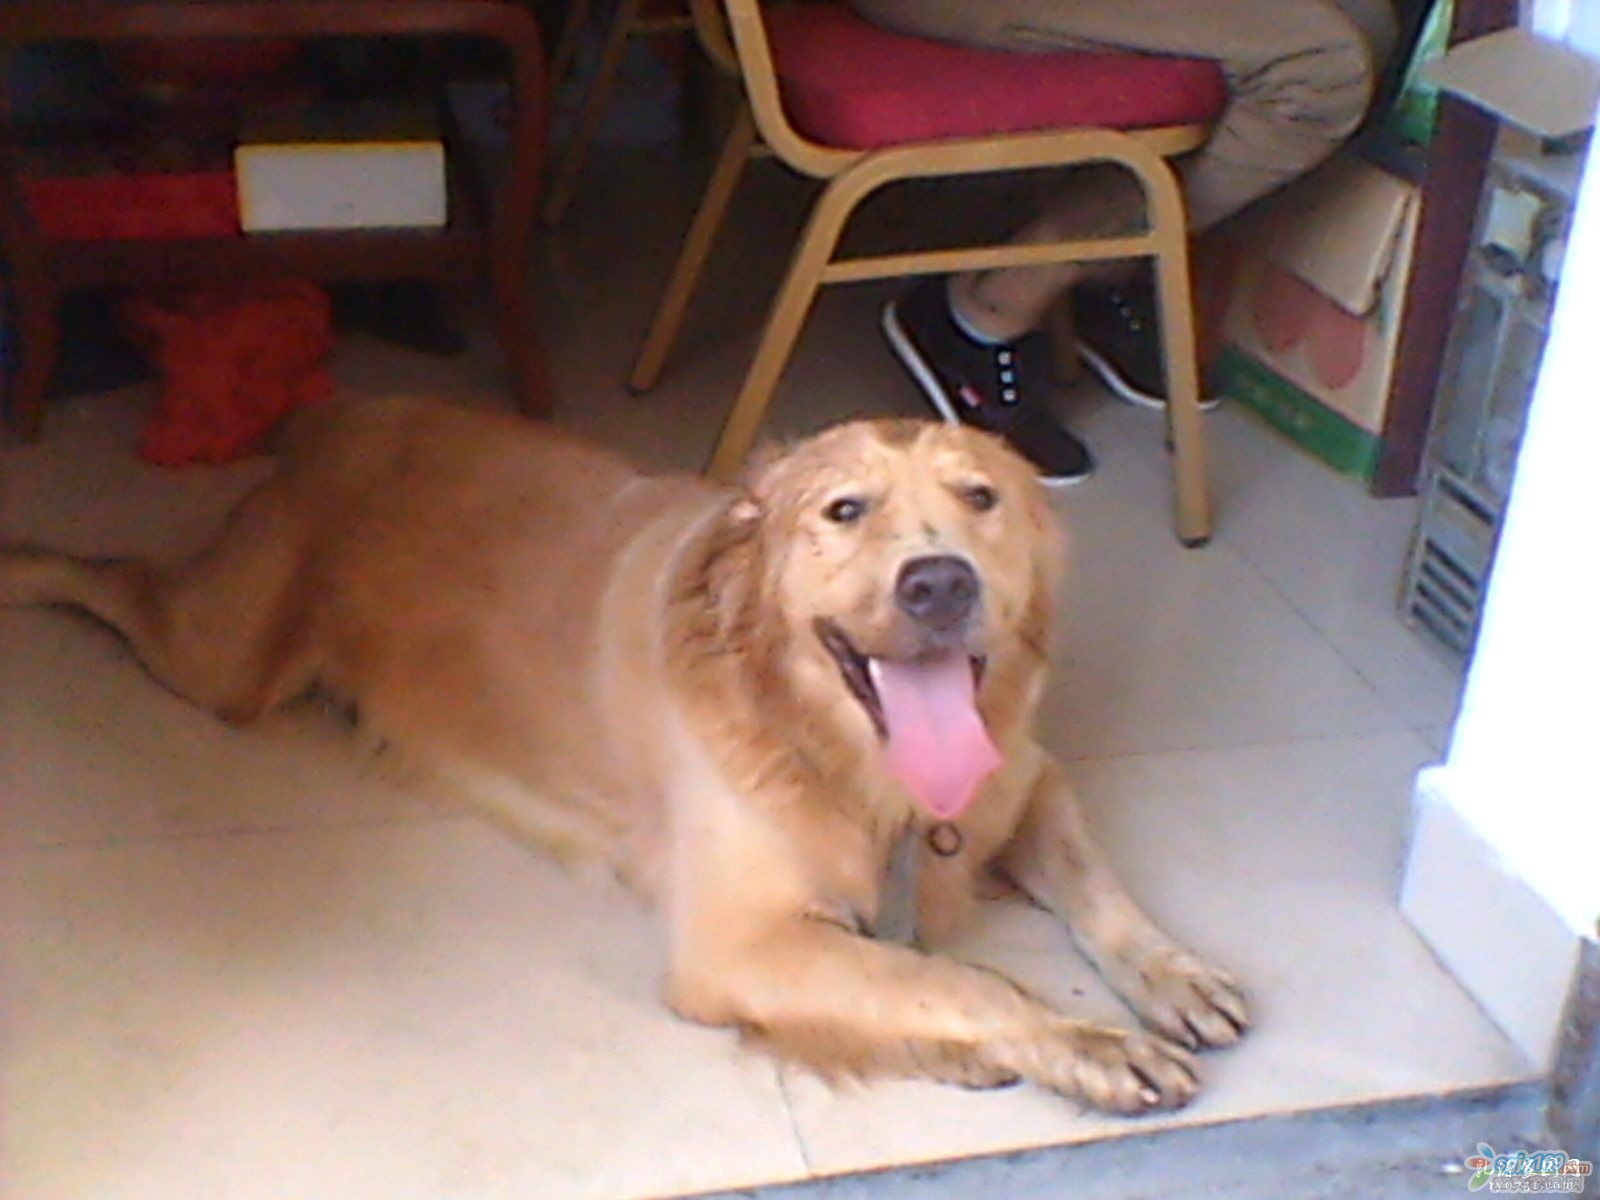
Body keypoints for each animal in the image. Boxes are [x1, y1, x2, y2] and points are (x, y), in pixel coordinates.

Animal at [0, 396, 1246, 1112]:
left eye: (981, 498)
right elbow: (946, 977)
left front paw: (1174, 975)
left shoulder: (1027, 779)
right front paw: (1069, 1040)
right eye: (842, 511)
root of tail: (353, 404)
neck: (854, 764)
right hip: (219, 659)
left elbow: (1097, 888)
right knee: (103, 572)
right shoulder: (735, 942)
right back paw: (22, 562)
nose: (940, 583)